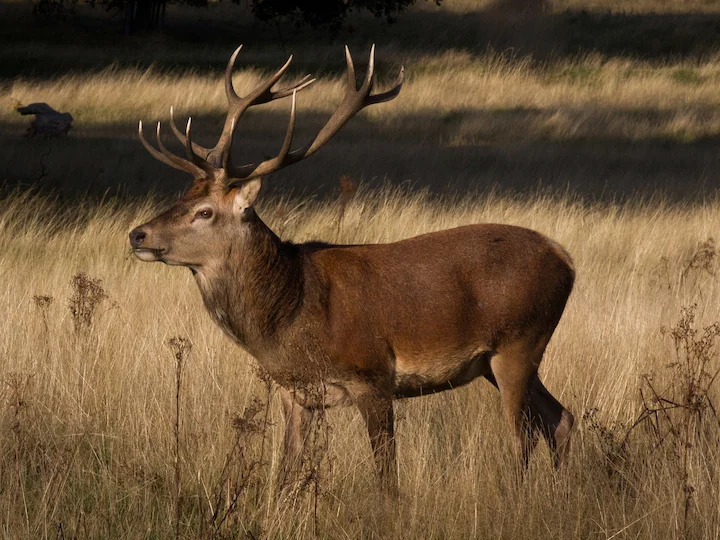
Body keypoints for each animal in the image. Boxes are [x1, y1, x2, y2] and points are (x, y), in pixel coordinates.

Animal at [129, 45, 575, 494]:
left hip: (518, 341)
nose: (137, 234)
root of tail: (566, 259)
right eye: (180, 197)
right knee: (561, 418)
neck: (291, 313)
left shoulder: (372, 375)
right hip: (499, 359)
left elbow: (387, 475)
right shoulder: (295, 391)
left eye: (204, 212)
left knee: (523, 435)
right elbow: (286, 473)